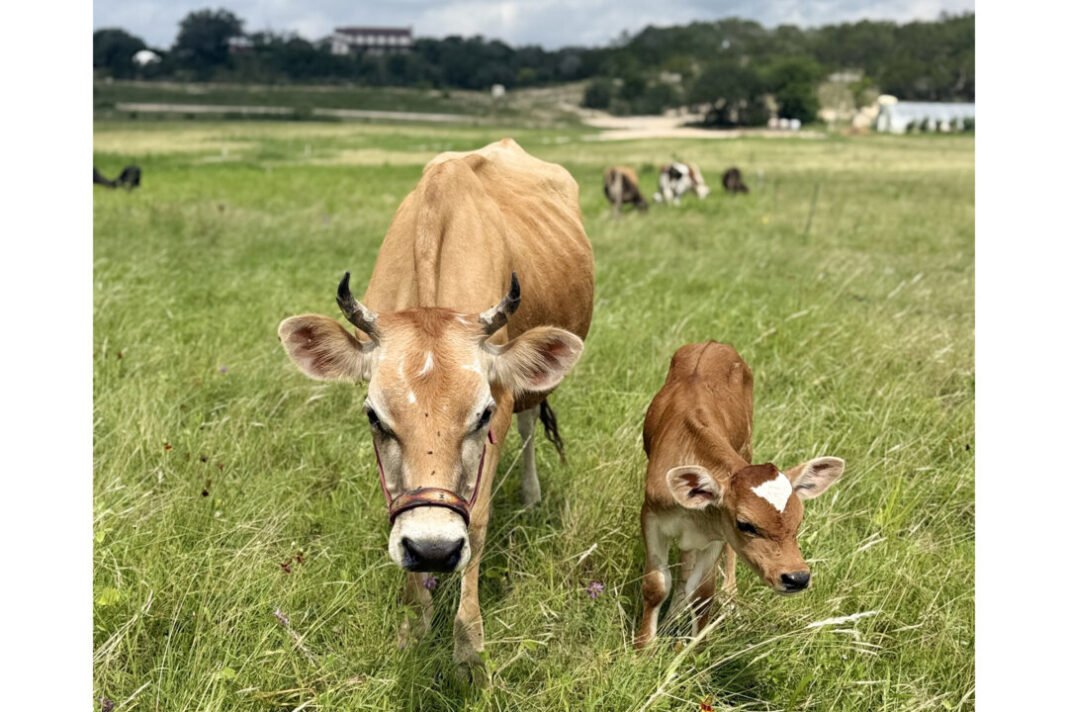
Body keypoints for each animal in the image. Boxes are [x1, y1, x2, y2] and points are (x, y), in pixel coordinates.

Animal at [277, 138, 594, 682]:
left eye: (481, 415)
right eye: (374, 416)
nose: (433, 549)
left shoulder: (502, 399)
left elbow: (480, 518)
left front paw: (469, 642)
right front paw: (413, 622)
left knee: (532, 424)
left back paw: (531, 495)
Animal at [635, 341, 846, 648]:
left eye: (799, 522)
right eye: (745, 524)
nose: (797, 577)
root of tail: (714, 343)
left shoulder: (717, 533)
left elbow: (703, 593)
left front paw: (695, 649)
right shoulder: (652, 516)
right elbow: (656, 584)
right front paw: (643, 648)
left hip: (747, 446)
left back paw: (728, 599)